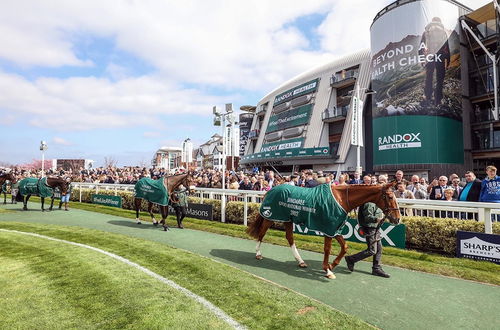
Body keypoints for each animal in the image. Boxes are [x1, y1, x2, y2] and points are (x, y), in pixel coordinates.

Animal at [244, 182, 400, 280]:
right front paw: (328, 270)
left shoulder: (335, 229)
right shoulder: (328, 228)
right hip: (270, 216)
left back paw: (301, 261)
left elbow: (345, 247)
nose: (397, 219)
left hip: (288, 219)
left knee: (290, 238)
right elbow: (327, 249)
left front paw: (332, 265)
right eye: (390, 196)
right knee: (262, 233)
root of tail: (270, 190)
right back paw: (258, 254)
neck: (342, 199)